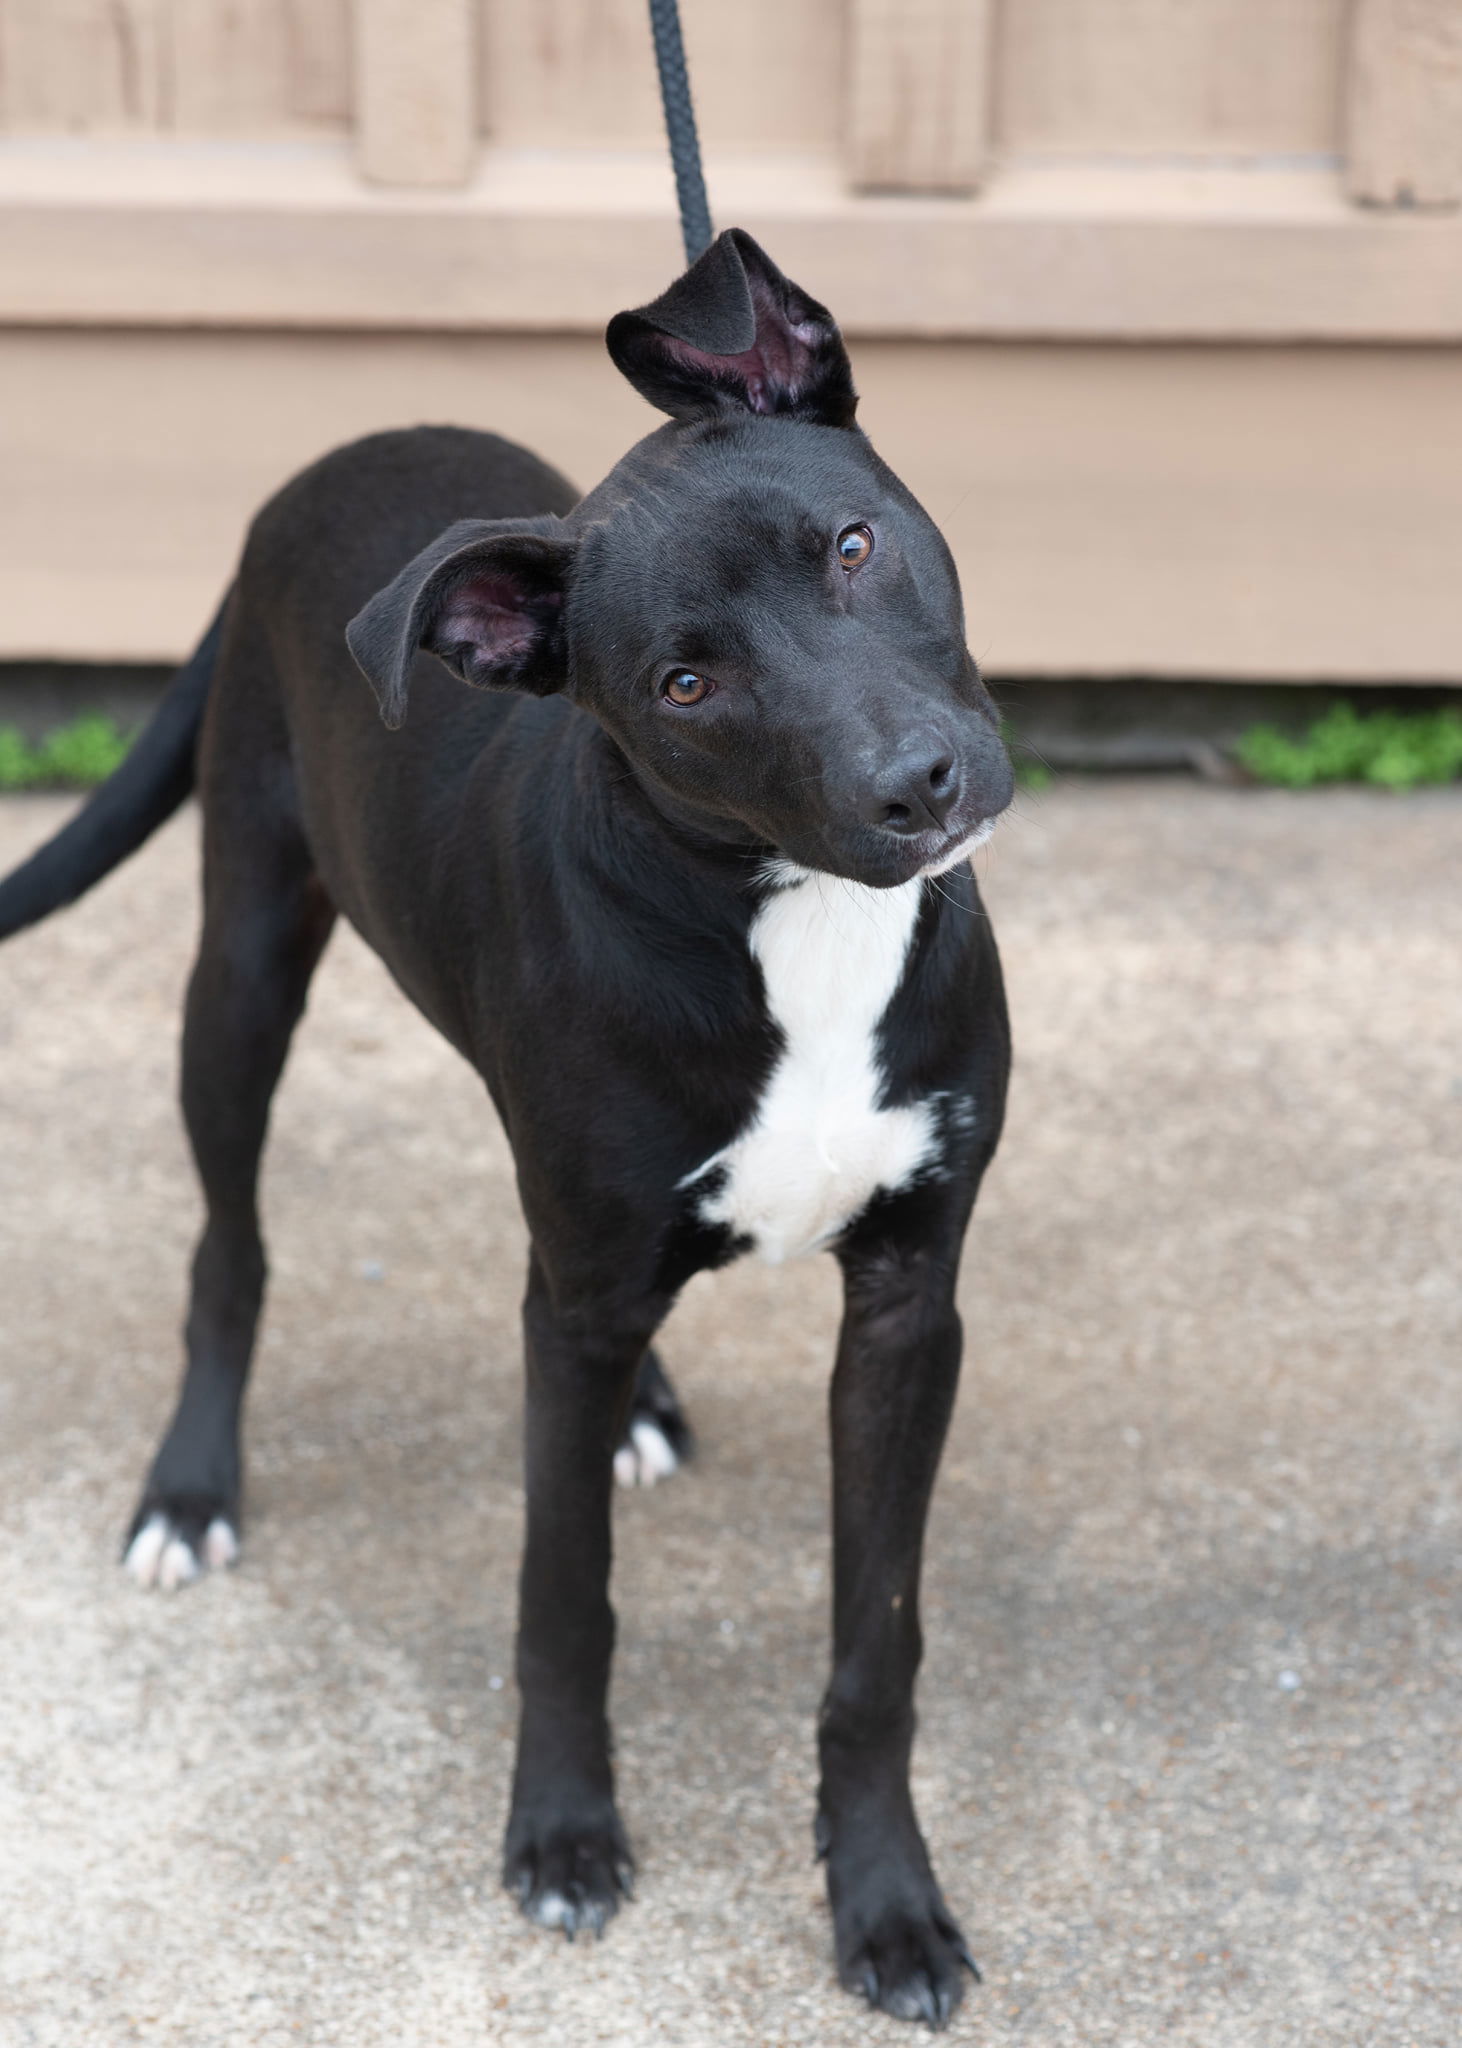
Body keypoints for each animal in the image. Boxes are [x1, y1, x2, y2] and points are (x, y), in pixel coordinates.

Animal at [0, 232, 1007, 2023]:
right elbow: (562, 1596)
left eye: (852, 545)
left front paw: (887, 1904)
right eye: (685, 682)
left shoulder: (908, 1302)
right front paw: (561, 1835)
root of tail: (346, 451)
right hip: (239, 976)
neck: (789, 917)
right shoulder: (588, 1286)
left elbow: (874, 1639)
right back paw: (189, 1490)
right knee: (229, 1247)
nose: (919, 788)